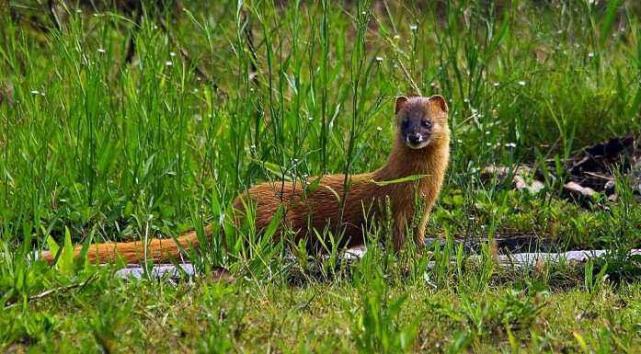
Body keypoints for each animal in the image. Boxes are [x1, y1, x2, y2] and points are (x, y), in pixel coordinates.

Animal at [40, 95, 450, 264]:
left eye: (427, 122)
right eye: (404, 122)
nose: (415, 136)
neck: (422, 185)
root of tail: (236, 206)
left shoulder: (423, 211)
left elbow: (416, 235)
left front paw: (424, 251)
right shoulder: (398, 209)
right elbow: (397, 238)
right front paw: (408, 256)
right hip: (274, 220)